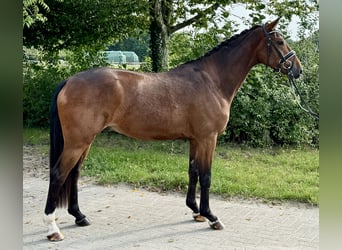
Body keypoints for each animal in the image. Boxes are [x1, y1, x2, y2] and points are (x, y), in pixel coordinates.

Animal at [42, 18, 302, 241]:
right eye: (280, 42)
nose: (297, 70)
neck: (212, 81)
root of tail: (69, 81)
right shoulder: (208, 138)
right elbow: (206, 176)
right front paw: (211, 216)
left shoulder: (195, 139)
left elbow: (193, 172)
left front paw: (196, 211)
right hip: (77, 142)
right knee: (58, 174)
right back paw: (52, 228)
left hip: (85, 141)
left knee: (74, 173)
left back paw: (79, 216)